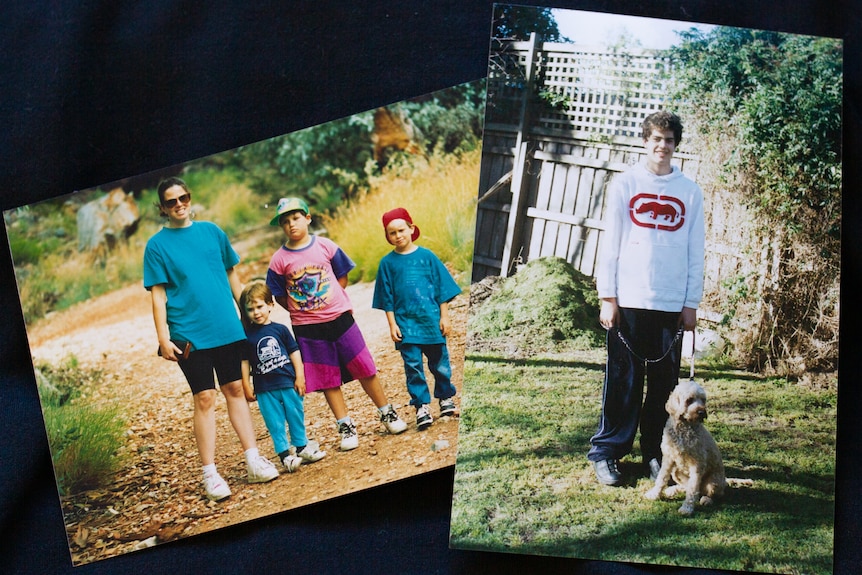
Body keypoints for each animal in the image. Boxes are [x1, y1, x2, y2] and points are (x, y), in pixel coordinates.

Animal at [644, 378, 724, 516]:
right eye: (689, 400)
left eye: (703, 399)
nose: (702, 412)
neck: (684, 426)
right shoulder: (668, 458)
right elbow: (661, 478)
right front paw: (654, 494)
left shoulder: (697, 464)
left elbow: (692, 488)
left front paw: (687, 508)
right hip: (676, 471)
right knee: (686, 486)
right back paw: (672, 490)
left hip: (713, 481)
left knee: (710, 493)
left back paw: (706, 500)